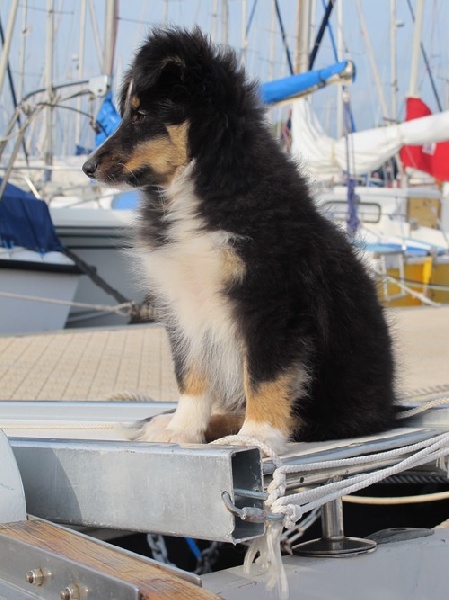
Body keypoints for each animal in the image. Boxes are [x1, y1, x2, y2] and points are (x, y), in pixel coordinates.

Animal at [82, 27, 394, 450]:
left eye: (142, 115)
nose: (87, 167)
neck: (200, 184)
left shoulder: (269, 298)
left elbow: (264, 374)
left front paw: (257, 435)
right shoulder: (184, 301)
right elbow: (191, 372)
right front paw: (182, 430)